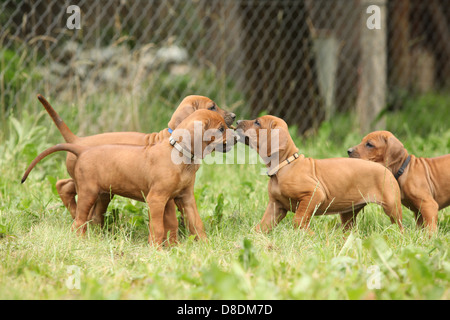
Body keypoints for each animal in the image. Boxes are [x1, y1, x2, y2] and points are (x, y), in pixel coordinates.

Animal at [22, 109, 234, 246]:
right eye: (221, 129)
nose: (238, 137)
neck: (179, 153)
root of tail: (82, 148)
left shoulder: (182, 198)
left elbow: (193, 223)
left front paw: (204, 247)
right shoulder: (156, 199)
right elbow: (158, 227)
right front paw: (156, 250)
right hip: (88, 192)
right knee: (79, 220)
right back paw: (80, 241)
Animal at [37, 94, 237, 224]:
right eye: (212, 106)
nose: (234, 116)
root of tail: (77, 141)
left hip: (98, 185)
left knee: (65, 186)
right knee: (67, 189)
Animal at [237, 115, 402, 232]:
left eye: (257, 122)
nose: (237, 121)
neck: (285, 165)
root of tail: (383, 167)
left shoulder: (314, 194)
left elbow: (298, 220)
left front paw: (309, 235)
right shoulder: (275, 207)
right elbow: (261, 227)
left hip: (392, 207)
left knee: (399, 227)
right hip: (349, 213)